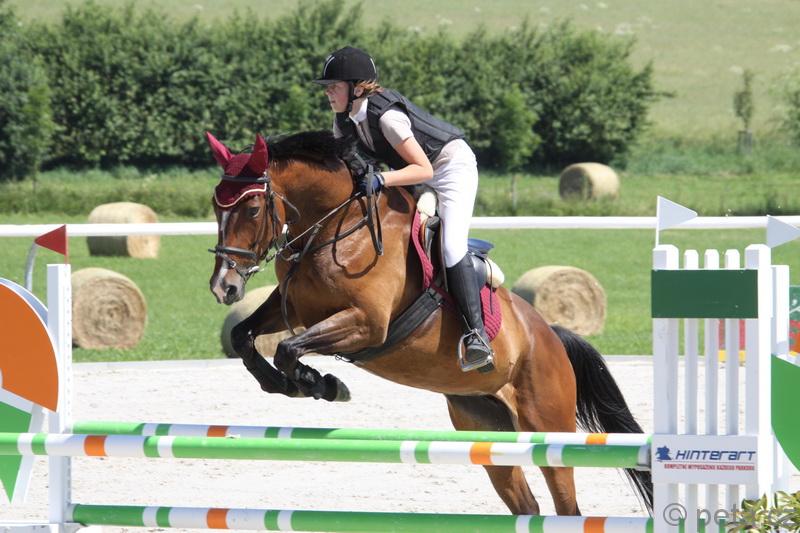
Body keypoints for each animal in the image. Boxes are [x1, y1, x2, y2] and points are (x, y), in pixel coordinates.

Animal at [206, 130, 652, 516]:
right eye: (215, 206)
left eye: (252, 209)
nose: (223, 287)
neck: (336, 229)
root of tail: (551, 337)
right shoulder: (294, 310)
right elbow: (244, 337)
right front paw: (289, 384)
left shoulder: (367, 324)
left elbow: (287, 348)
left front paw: (324, 385)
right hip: (486, 430)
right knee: (526, 505)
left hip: (547, 427)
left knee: (566, 505)